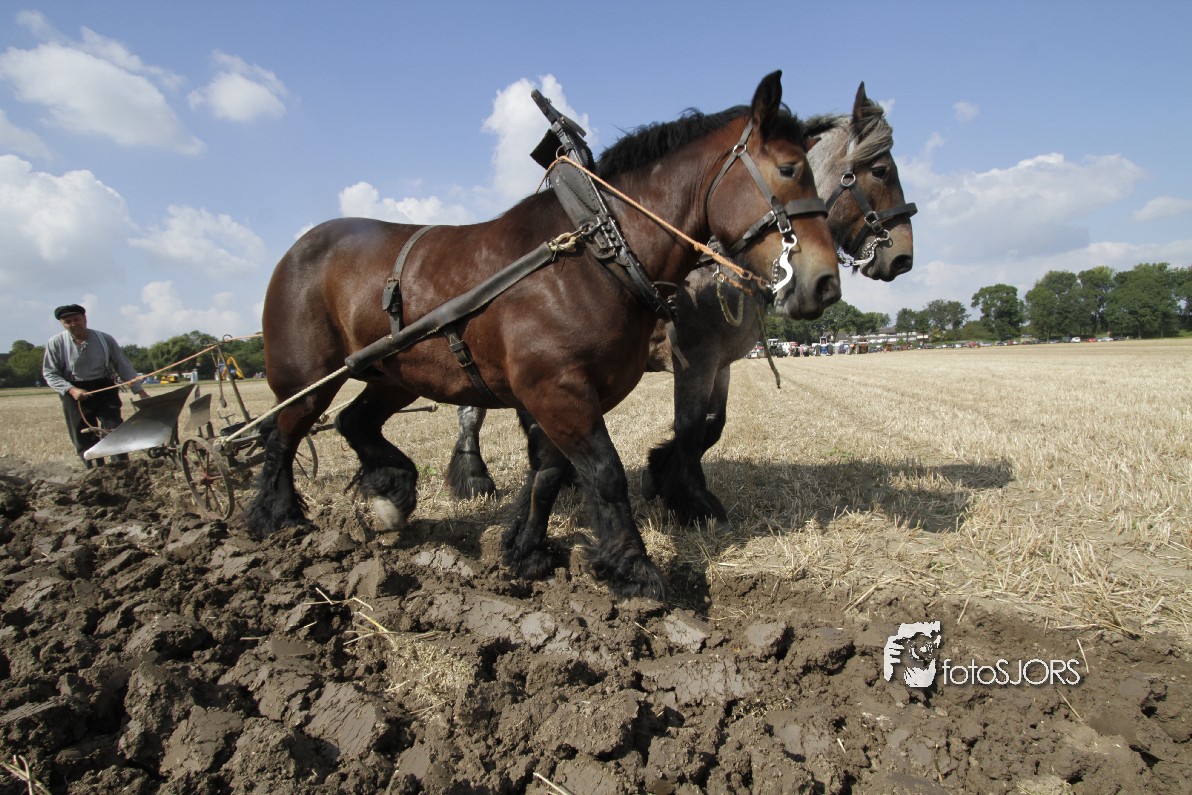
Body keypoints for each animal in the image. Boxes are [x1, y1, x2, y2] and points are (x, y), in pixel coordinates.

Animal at [247, 72, 840, 600]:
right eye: (789, 168)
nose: (825, 282)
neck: (596, 251)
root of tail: (297, 249)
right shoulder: (557, 389)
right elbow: (605, 473)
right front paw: (635, 571)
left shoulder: (558, 395)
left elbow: (550, 473)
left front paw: (525, 551)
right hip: (307, 376)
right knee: (282, 435)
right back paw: (276, 518)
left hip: (396, 375)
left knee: (353, 420)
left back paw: (391, 490)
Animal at [446, 83, 916, 526]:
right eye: (880, 170)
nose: (903, 257)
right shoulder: (693, 357)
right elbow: (689, 427)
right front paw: (689, 500)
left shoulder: (721, 362)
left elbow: (713, 425)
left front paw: (662, 474)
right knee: (473, 409)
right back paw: (474, 477)